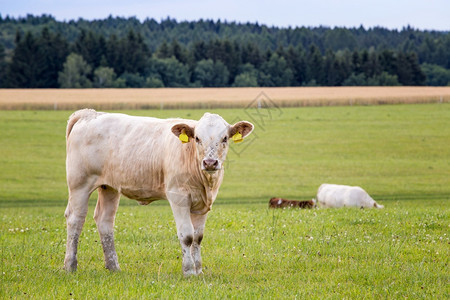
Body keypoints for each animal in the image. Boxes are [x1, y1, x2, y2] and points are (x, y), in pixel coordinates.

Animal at [63, 109, 253, 276]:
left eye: (225, 138)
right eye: (198, 138)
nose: (210, 162)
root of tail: (89, 113)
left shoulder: (203, 203)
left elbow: (198, 237)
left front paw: (199, 270)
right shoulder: (178, 196)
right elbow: (187, 236)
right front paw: (189, 271)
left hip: (109, 187)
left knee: (105, 220)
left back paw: (113, 267)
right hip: (79, 183)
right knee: (75, 219)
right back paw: (70, 266)